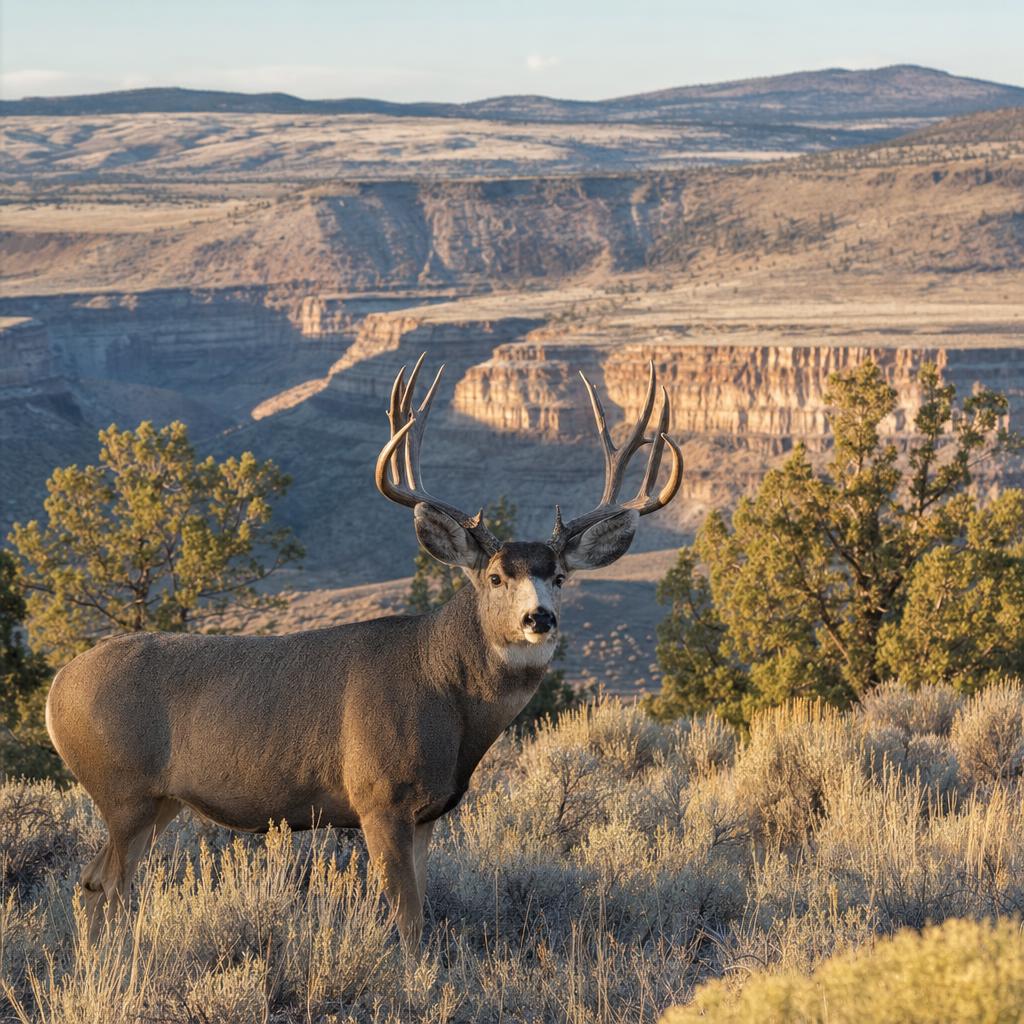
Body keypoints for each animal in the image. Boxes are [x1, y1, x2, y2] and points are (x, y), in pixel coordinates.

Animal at [45, 354, 683, 949]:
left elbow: (421, 909)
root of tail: (56, 689)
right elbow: (406, 919)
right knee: (107, 886)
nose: (539, 618)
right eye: (496, 576)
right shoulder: (378, 796)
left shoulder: (428, 812)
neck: (449, 699)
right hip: (123, 789)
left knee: (92, 884)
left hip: (159, 801)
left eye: (560, 577)